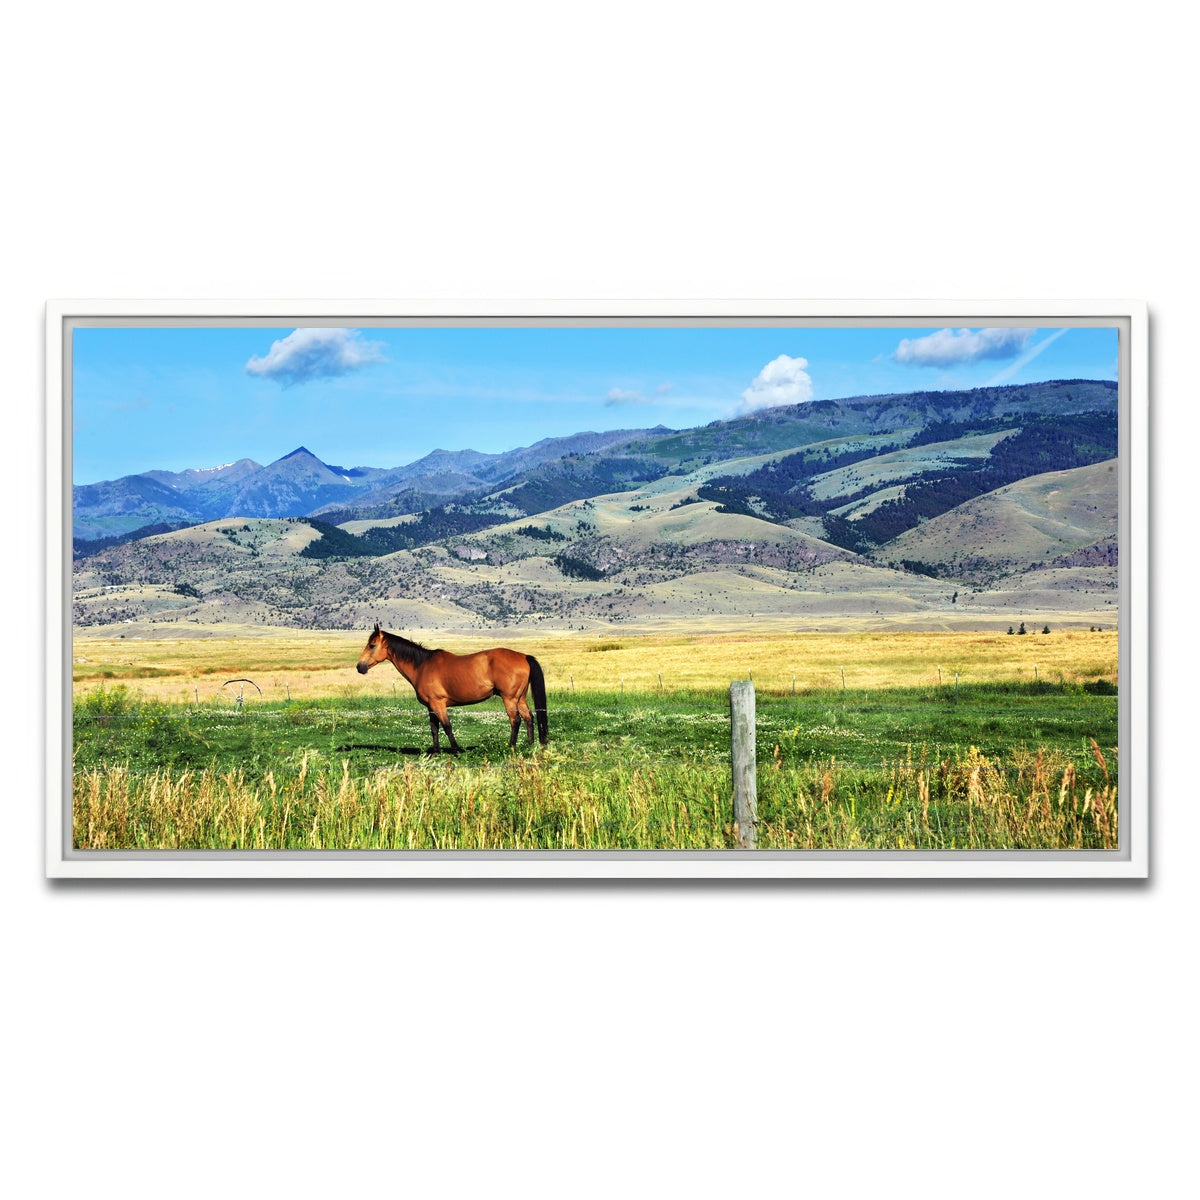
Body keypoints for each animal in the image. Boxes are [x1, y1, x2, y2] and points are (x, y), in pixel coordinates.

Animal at [355, 623, 548, 754]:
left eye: (372, 645)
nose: (360, 667)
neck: (422, 666)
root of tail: (523, 656)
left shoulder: (438, 704)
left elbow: (447, 726)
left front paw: (456, 750)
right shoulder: (430, 706)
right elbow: (434, 728)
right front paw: (436, 752)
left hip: (509, 699)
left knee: (515, 721)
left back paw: (512, 746)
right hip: (520, 698)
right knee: (528, 718)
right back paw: (530, 745)